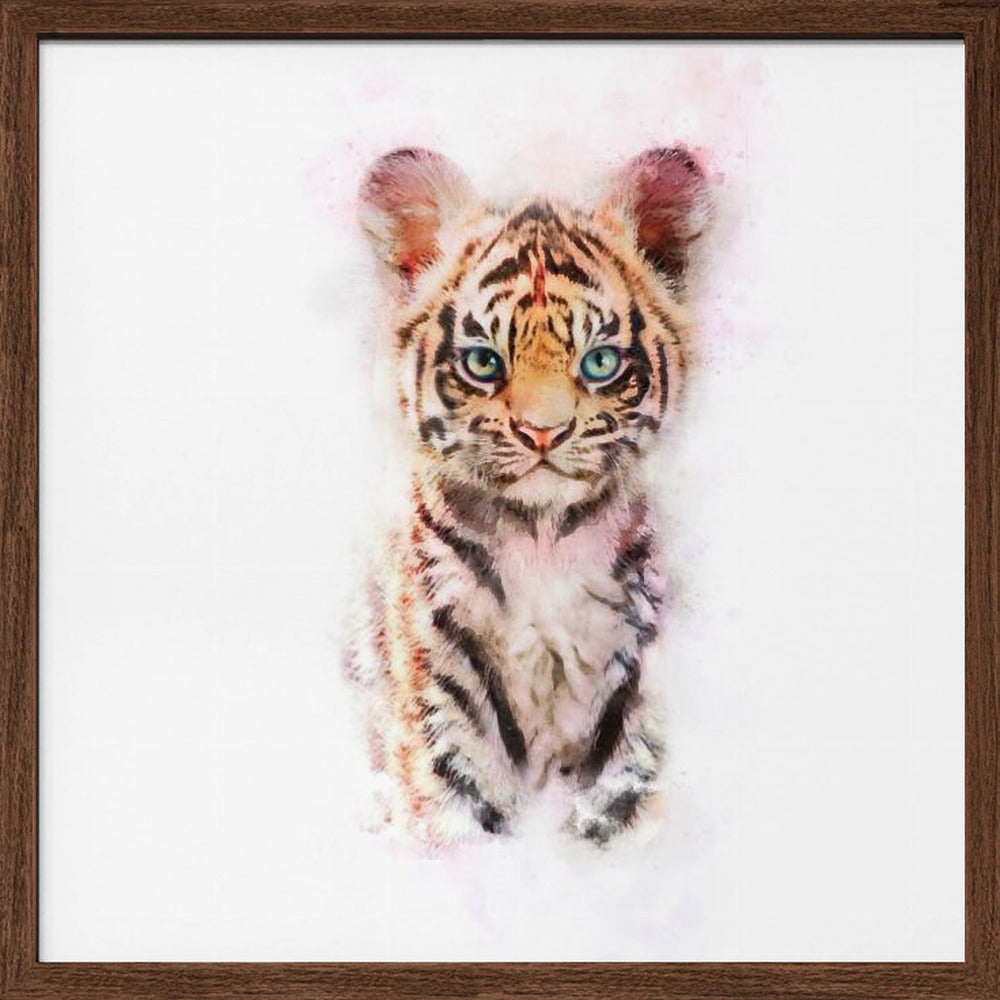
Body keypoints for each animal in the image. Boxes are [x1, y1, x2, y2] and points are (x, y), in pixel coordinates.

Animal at [344, 145, 710, 847]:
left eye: (599, 363)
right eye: (484, 363)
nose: (543, 431)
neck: (543, 542)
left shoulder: (637, 690)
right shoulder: (441, 692)